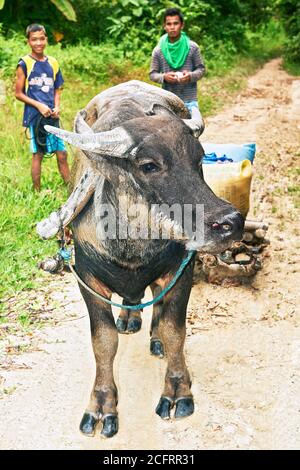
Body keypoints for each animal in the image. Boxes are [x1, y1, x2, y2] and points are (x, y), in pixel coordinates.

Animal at [37, 80, 244, 436]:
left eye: (199, 160)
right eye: (149, 165)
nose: (230, 222)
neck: (131, 247)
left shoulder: (181, 270)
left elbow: (175, 332)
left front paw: (177, 391)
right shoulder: (88, 280)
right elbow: (103, 342)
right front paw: (102, 406)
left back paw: (154, 336)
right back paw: (129, 319)